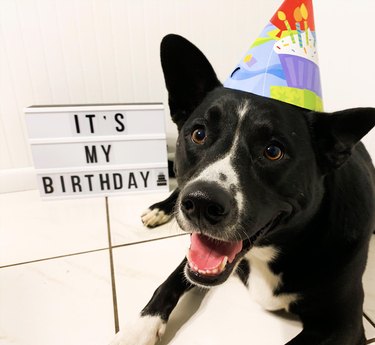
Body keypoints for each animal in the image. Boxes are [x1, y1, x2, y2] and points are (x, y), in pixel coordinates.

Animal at [111, 33, 375, 342]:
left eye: (273, 151)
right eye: (198, 134)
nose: (201, 203)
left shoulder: (343, 324)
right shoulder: (193, 259)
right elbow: (169, 282)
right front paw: (137, 330)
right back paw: (160, 208)